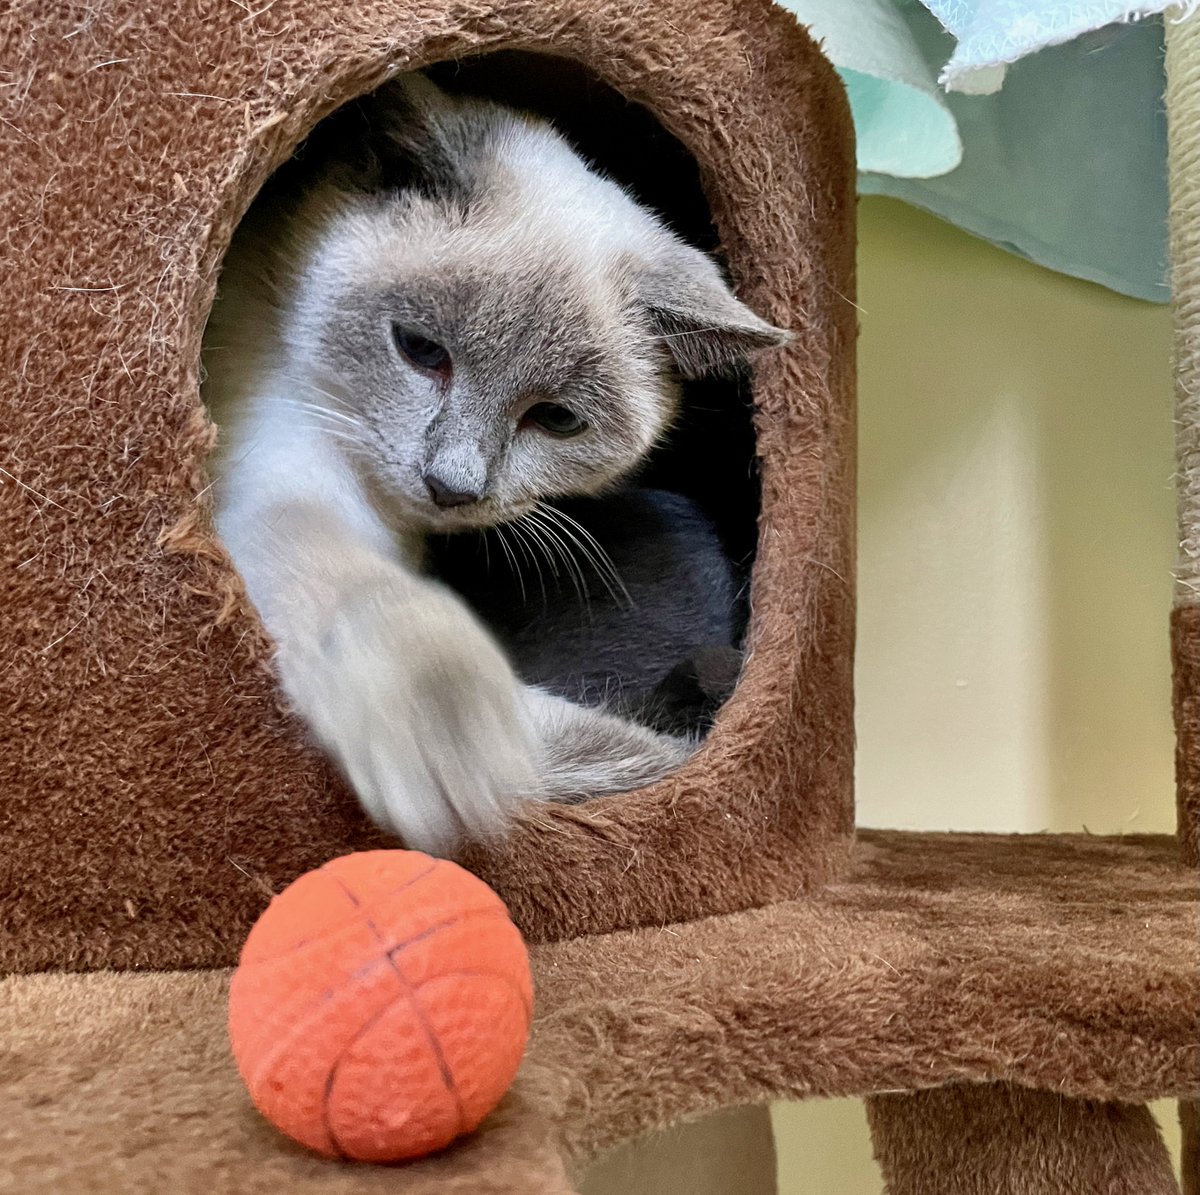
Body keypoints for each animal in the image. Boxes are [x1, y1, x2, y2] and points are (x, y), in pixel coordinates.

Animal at [204, 74, 787, 854]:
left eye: (557, 418)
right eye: (421, 350)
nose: (452, 485)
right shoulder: (287, 477)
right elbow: (376, 598)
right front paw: (449, 738)